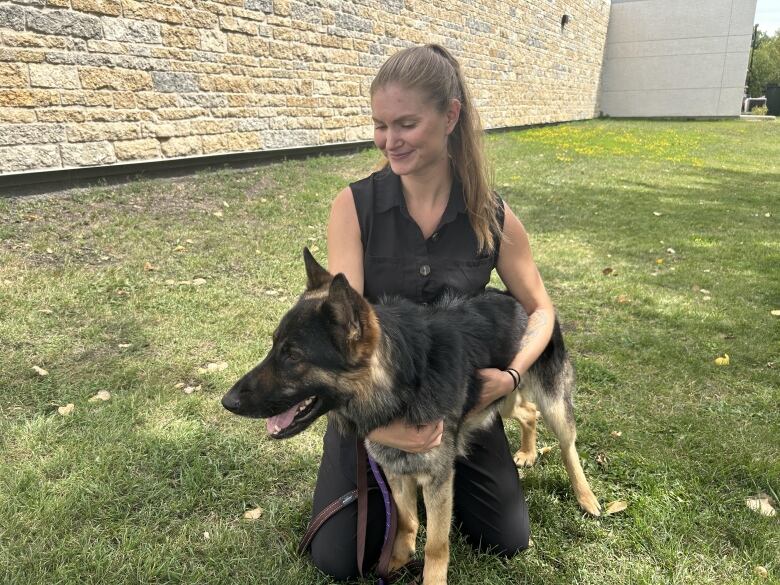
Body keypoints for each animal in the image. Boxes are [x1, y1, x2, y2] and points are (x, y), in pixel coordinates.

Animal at [222, 248, 600, 584]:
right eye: (274, 346)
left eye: (293, 356)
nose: (227, 402)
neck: (402, 386)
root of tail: (519, 301)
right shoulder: (395, 471)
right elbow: (406, 523)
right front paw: (395, 562)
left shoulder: (437, 480)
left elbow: (436, 545)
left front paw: (429, 577)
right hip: (501, 399)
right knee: (528, 412)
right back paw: (527, 452)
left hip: (551, 403)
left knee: (567, 444)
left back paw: (587, 497)